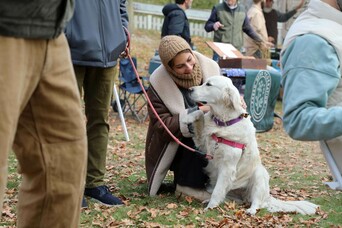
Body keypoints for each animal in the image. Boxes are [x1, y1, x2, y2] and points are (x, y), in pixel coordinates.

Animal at [183, 75, 320, 215]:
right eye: (204, 82)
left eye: (209, 85)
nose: (189, 89)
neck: (224, 122)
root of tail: (268, 196)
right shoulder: (203, 145)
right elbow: (200, 115)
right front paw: (187, 117)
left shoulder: (227, 167)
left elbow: (218, 191)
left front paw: (210, 208)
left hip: (259, 175)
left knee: (258, 202)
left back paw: (251, 210)